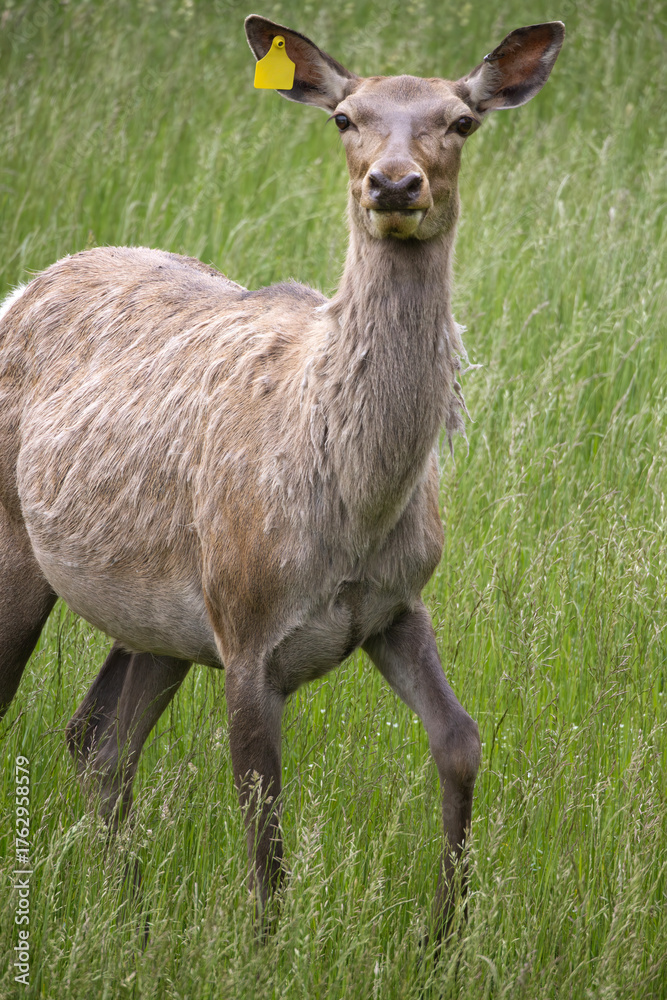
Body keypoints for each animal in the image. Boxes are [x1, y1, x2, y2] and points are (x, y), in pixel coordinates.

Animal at [0, 15, 563, 936]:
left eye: (460, 121)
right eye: (344, 117)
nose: (393, 182)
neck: (355, 506)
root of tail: (25, 285)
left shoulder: (395, 604)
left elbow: (461, 742)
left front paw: (443, 933)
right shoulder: (247, 629)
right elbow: (265, 833)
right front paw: (269, 945)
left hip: (158, 616)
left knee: (99, 739)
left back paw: (133, 913)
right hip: (27, 546)